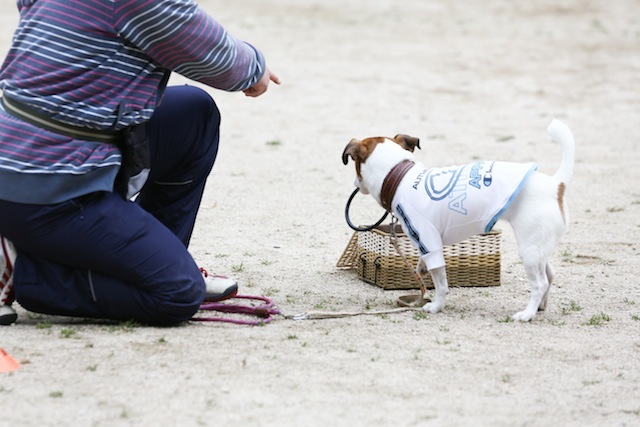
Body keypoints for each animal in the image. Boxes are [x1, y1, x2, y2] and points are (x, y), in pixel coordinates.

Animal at [342, 119, 576, 320]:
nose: (354, 182)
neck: (400, 176)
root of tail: (556, 184)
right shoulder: (428, 245)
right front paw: (421, 270)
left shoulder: (430, 242)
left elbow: (441, 285)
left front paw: (436, 306)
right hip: (538, 247)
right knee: (550, 275)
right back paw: (540, 307)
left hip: (529, 250)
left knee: (540, 283)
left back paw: (527, 314)